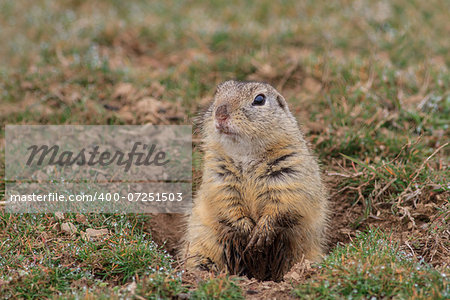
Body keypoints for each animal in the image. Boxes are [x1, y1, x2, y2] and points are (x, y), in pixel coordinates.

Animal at [182, 79, 326, 282]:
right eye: (217, 92)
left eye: (259, 99)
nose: (220, 114)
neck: (246, 155)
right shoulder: (218, 176)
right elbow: (226, 201)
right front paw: (245, 229)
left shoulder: (291, 172)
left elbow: (283, 204)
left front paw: (260, 233)